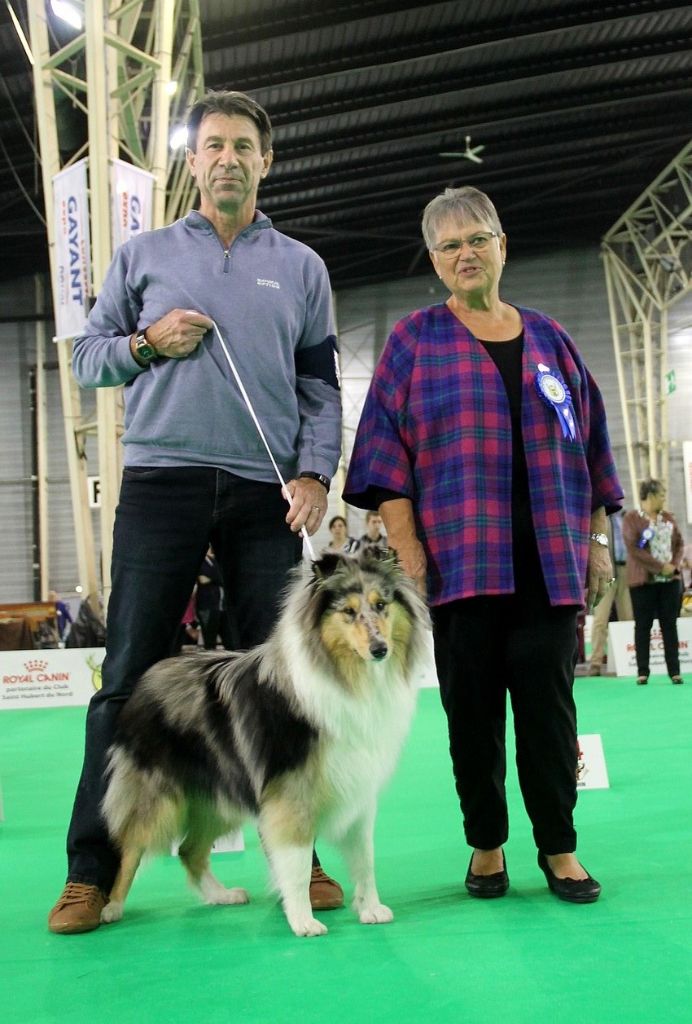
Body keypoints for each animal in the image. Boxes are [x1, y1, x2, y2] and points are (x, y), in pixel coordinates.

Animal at [99, 552, 429, 937]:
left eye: (381, 605)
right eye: (348, 611)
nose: (380, 649)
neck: (346, 677)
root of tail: (150, 676)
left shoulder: (357, 786)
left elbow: (365, 857)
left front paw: (371, 909)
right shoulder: (290, 795)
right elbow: (297, 864)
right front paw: (303, 921)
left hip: (217, 798)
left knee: (189, 850)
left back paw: (222, 895)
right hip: (159, 799)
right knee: (130, 848)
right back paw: (110, 907)